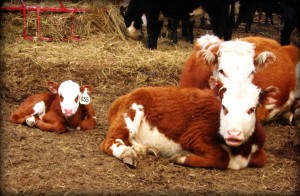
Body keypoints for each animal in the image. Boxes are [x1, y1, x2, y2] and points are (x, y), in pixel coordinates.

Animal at [100, 81, 274, 170]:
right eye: (224, 107)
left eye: (252, 109)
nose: (233, 133)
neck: (239, 152)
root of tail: (123, 97)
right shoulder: (194, 136)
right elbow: (221, 158)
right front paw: (181, 157)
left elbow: (262, 158)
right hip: (131, 111)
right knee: (111, 141)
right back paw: (127, 153)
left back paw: (147, 149)